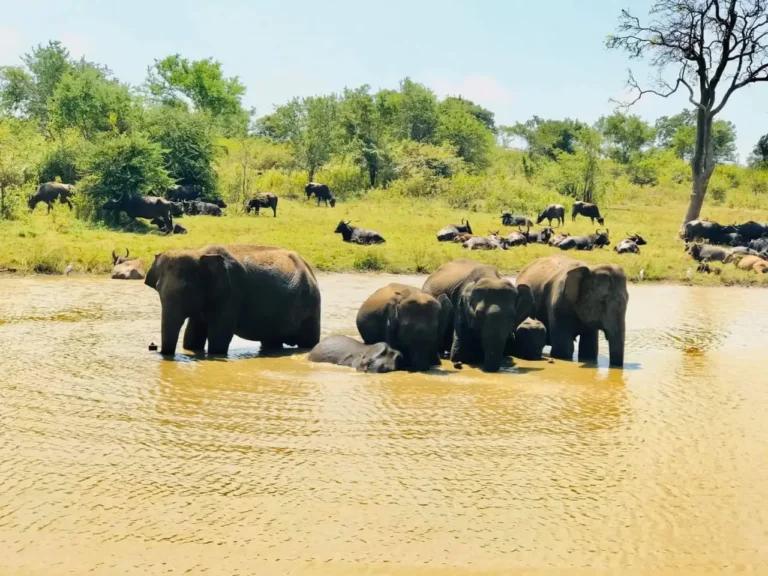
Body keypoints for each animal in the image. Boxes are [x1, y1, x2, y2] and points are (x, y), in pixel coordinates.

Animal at [144, 244, 320, 356]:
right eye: (157, 289)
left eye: (186, 290)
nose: (153, 347)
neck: (199, 252)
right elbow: (191, 338)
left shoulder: (232, 292)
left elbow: (219, 338)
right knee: (271, 342)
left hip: (311, 304)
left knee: (308, 342)